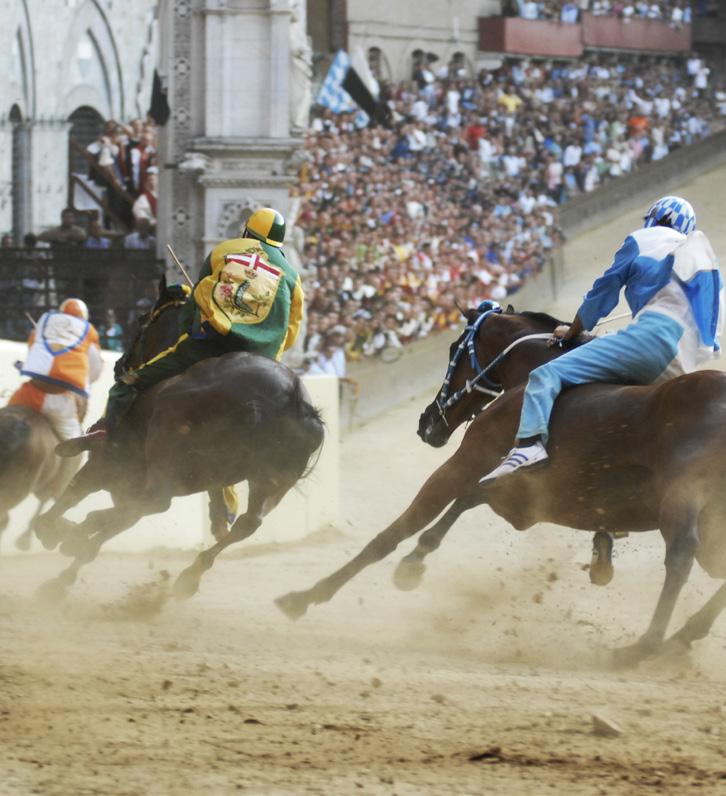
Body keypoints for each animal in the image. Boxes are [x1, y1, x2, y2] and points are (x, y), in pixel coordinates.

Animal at [33, 279, 325, 600]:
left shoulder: (104, 465)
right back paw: (189, 575)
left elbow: (72, 498)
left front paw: (56, 532)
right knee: (247, 523)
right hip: (264, 481)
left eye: (142, 319)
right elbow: (118, 520)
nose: (120, 364)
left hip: (167, 462)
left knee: (148, 504)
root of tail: (288, 399)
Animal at [276, 304, 726, 667]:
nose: (427, 421)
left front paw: (306, 596)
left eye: (454, 350)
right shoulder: (518, 492)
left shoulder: (466, 461)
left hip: (683, 499)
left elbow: (398, 529)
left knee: (681, 556)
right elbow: (463, 503)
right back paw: (681, 636)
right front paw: (414, 563)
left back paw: (642, 646)